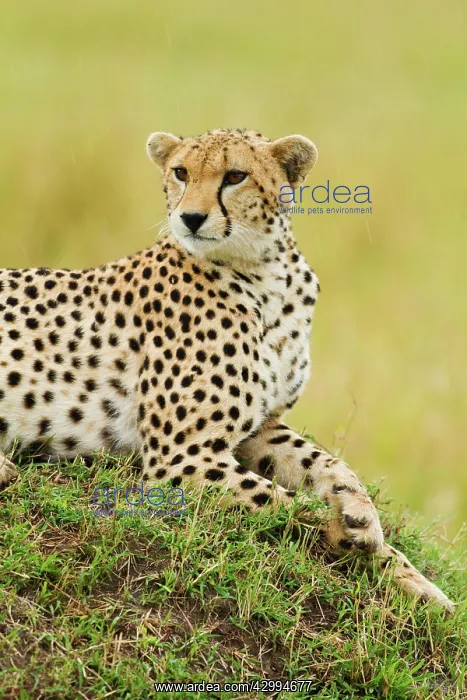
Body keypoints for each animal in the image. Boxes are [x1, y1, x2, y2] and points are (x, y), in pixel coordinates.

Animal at [0, 127, 454, 612]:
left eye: (236, 176)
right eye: (181, 172)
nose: (191, 218)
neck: (265, 272)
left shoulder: (263, 428)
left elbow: (331, 464)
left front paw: (387, 547)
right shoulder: (181, 455)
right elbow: (291, 506)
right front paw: (347, 537)